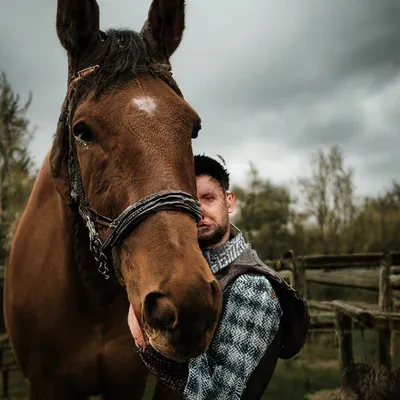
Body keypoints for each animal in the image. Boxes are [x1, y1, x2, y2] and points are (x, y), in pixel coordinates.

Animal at [3, 1, 222, 398]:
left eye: (194, 128)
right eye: (82, 131)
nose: (189, 304)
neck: (92, 298)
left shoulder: (127, 382)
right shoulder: (45, 385)